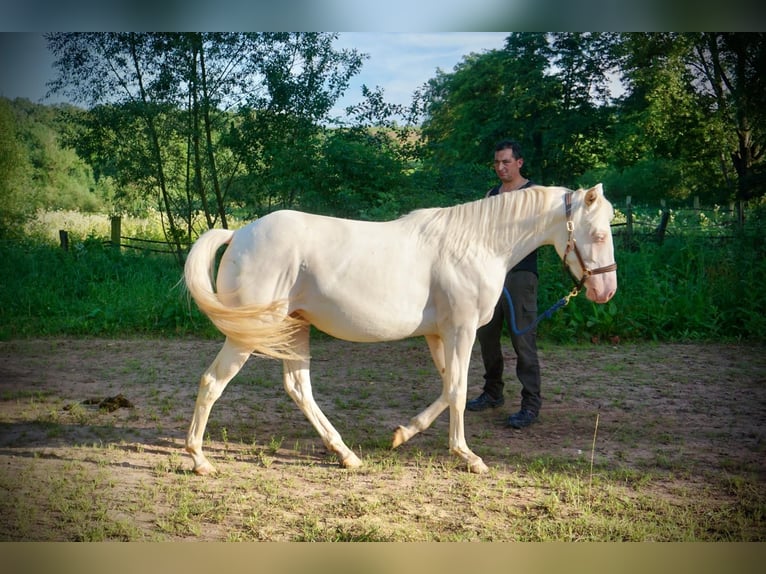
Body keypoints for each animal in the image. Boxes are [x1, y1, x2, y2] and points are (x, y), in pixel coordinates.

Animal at [184, 186, 616, 476]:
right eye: (598, 235)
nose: (605, 291)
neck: (477, 244)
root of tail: (237, 233)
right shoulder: (460, 330)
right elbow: (458, 390)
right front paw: (468, 457)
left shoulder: (440, 334)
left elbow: (448, 387)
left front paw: (402, 434)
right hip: (248, 334)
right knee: (212, 382)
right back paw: (199, 460)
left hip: (295, 330)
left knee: (298, 389)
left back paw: (346, 455)